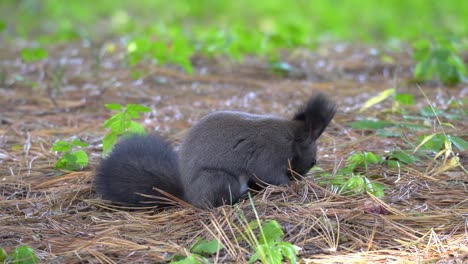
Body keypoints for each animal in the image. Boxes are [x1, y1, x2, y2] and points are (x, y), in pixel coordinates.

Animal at [95, 94, 336, 209]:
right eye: (313, 162)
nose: (302, 177)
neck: (291, 137)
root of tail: (189, 196)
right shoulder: (269, 154)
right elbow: (269, 175)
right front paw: (290, 186)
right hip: (219, 180)